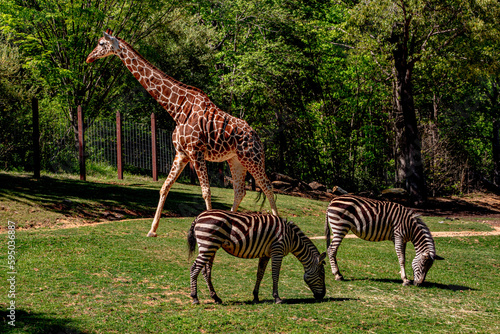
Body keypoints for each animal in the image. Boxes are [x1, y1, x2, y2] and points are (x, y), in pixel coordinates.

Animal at [87, 30, 280, 236]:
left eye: (101, 43)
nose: (89, 57)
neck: (177, 108)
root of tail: (258, 137)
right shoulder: (182, 154)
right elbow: (164, 187)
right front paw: (152, 230)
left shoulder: (196, 151)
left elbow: (206, 191)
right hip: (235, 160)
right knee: (240, 191)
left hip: (252, 157)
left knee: (267, 186)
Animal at [188, 210, 328, 304]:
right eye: (322, 274)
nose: (322, 296)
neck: (292, 238)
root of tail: (199, 216)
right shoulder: (277, 251)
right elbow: (275, 275)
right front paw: (277, 298)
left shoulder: (265, 254)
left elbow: (260, 274)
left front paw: (255, 296)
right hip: (208, 245)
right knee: (194, 268)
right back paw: (195, 297)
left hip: (211, 247)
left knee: (206, 271)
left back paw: (215, 297)